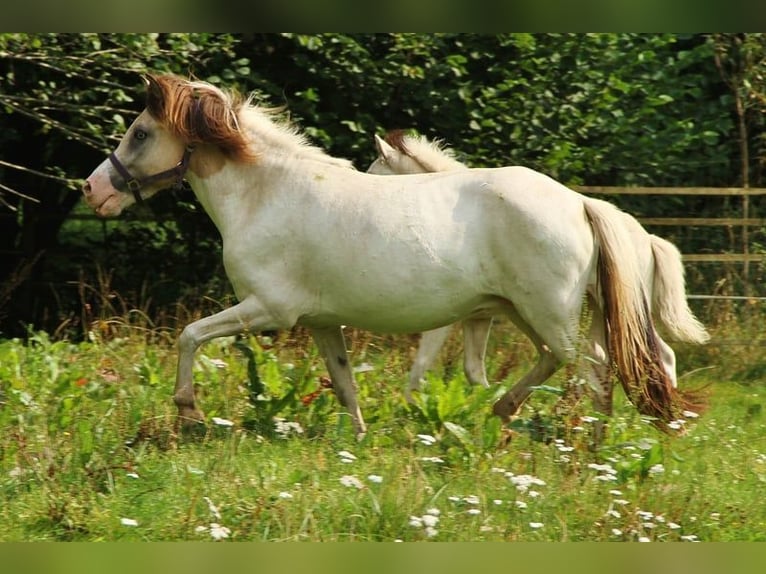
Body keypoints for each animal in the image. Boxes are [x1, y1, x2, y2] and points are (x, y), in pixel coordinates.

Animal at [368, 129, 709, 419]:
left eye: (373, 173)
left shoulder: (446, 316)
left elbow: (424, 363)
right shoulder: (478, 317)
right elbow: (473, 370)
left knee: (621, 361)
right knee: (646, 357)